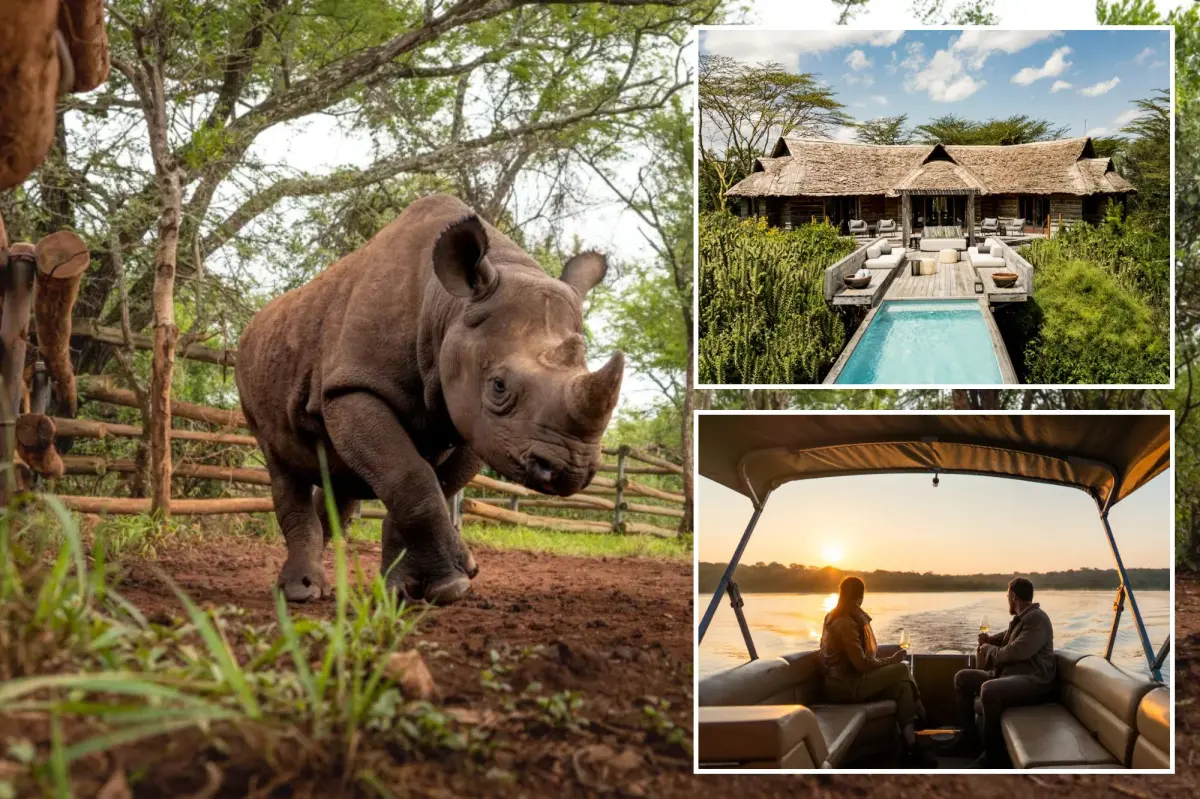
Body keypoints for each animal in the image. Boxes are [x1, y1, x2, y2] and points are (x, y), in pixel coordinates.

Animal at [235, 194, 623, 604]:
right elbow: (412, 478)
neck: (449, 308)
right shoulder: (353, 388)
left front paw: (404, 589)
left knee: (341, 481)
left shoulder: (471, 419)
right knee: (281, 465)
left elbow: (428, 484)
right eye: (499, 386)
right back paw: (301, 592)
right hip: (253, 370)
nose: (570, 470)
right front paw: (450, 585)